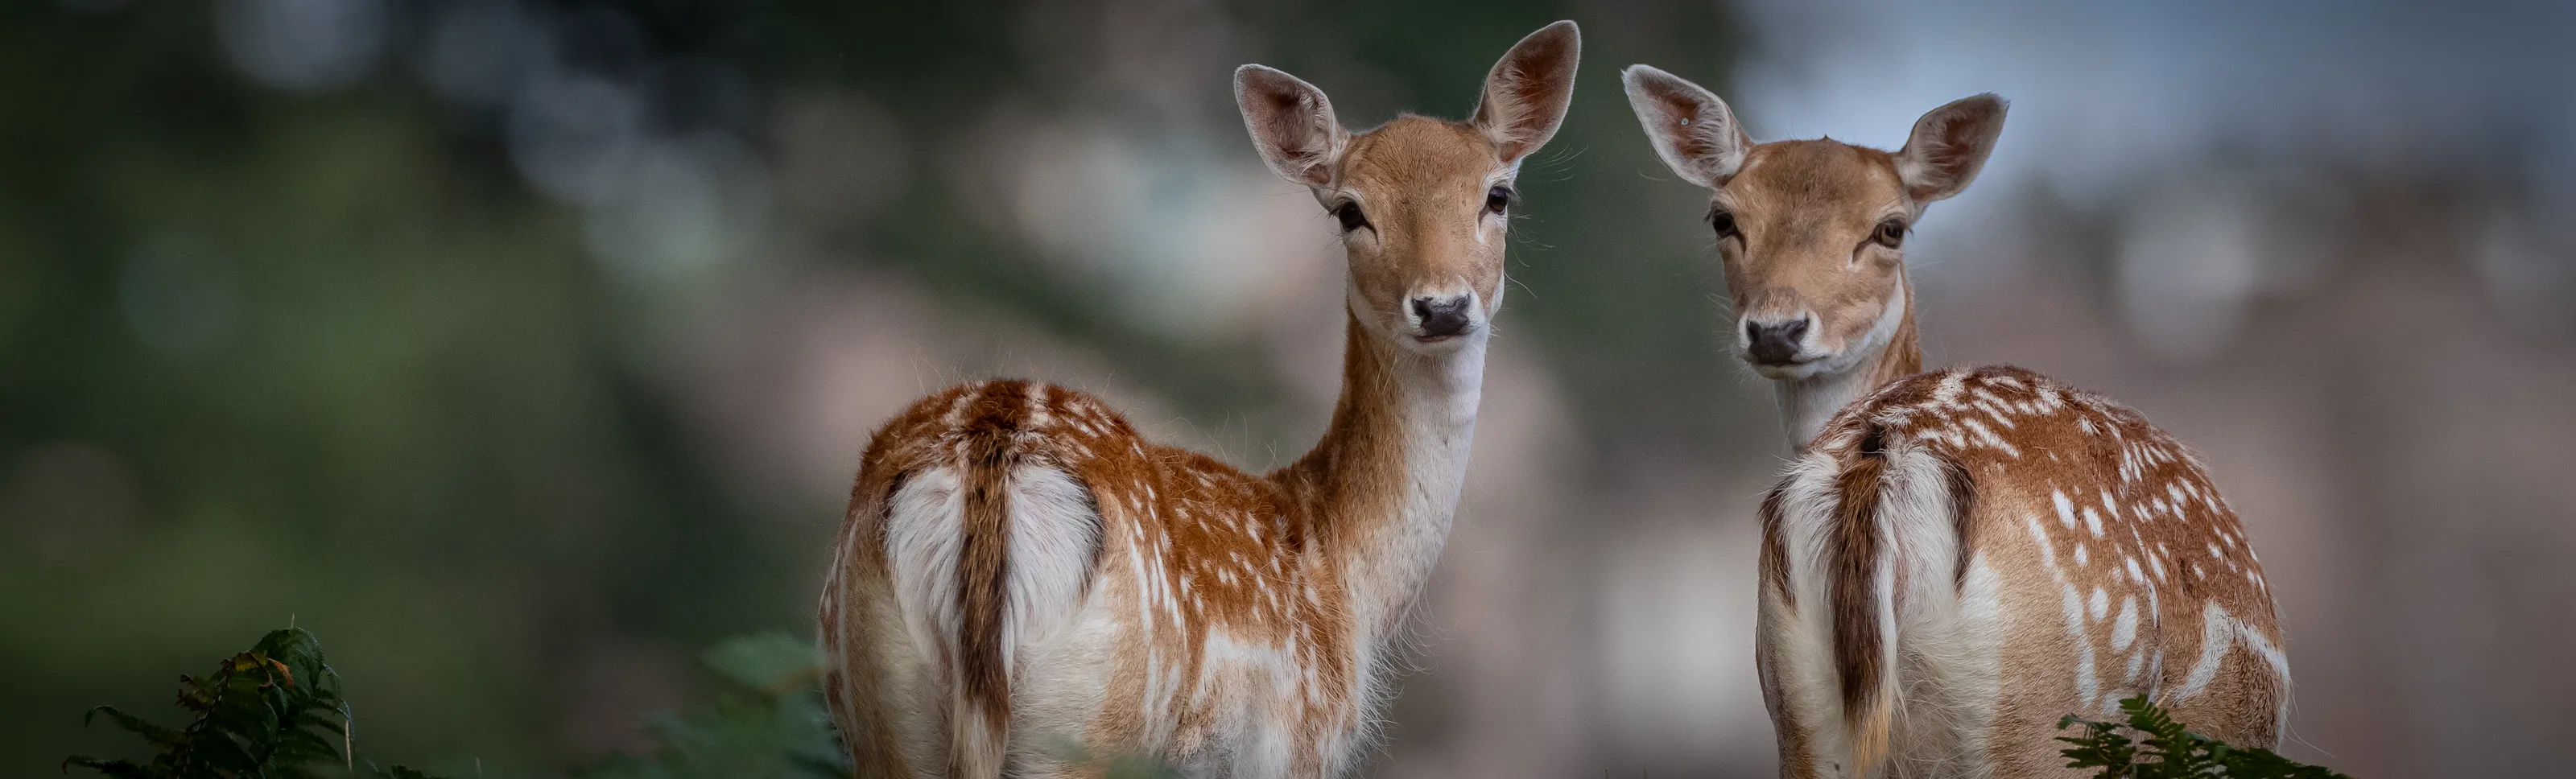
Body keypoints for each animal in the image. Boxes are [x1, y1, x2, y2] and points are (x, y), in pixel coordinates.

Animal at [814, 22, 1581, 779]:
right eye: (1350, 211)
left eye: (1498, 195)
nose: (1443, 306)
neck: (1339, 565)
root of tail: (989, 458)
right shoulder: (1296, 746)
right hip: (1095, 723)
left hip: (884, 697)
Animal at [1618, 66, 2292, 778]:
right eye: (1723, 218)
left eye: (1891, 228)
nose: (1776, 330)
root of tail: (1886, 460)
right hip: (2041, 711)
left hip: (1796, 700)